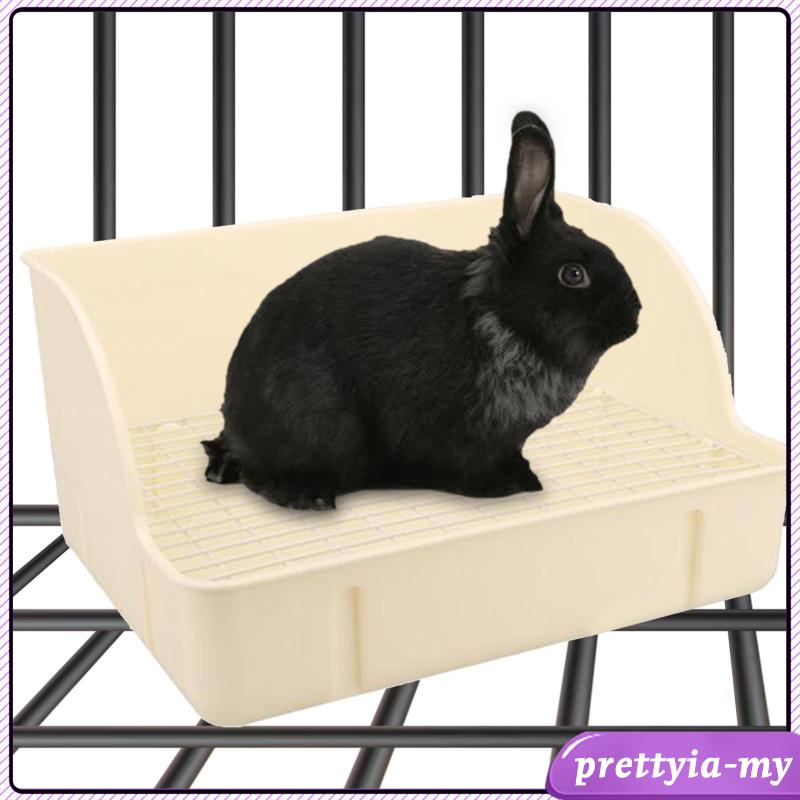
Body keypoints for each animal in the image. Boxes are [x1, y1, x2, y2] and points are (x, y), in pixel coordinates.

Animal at [202, 111, 641, 511]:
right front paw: (508, 487)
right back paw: (310, 497)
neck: (501, 321)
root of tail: (234, 423)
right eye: (573, 274)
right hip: (319, 422)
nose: (634, 315)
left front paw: (525, 477)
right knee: (263, 475)